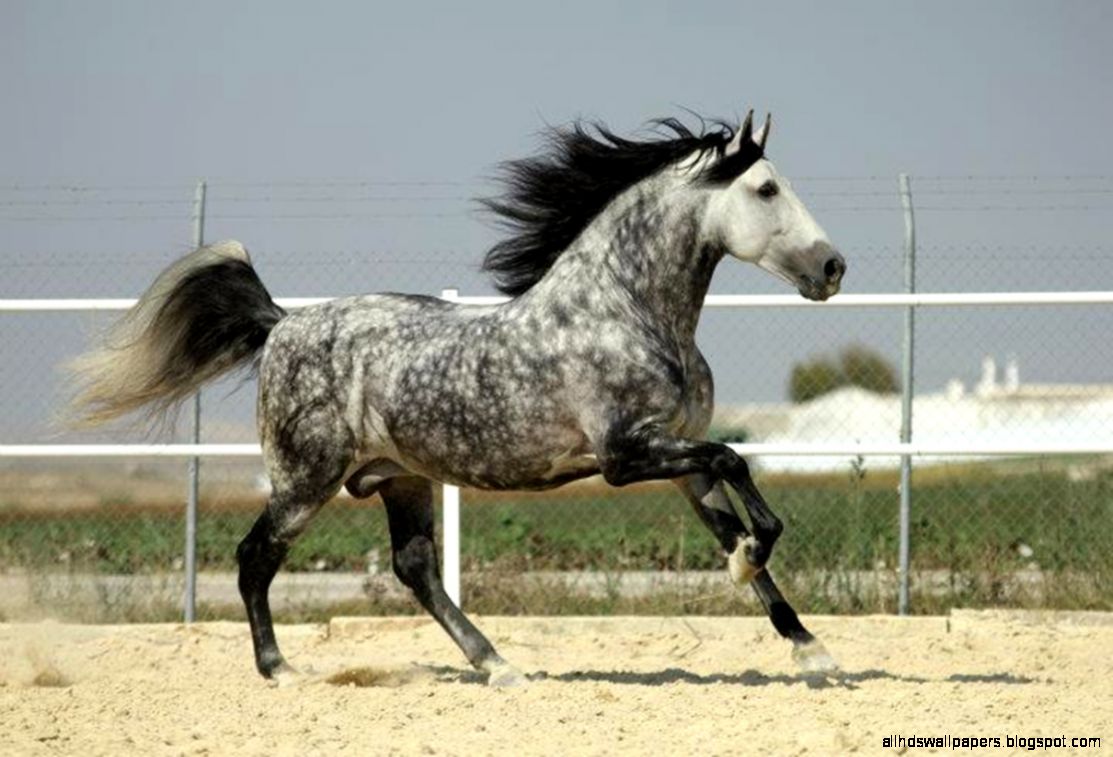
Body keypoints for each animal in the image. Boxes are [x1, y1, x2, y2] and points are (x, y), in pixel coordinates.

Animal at [68, 110, 846, 686]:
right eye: (766, 189)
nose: (833, 266)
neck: (623, 311)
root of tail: (282, 323)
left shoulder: (678, 459)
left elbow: (730, 501)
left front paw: (809, 645)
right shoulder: (626, 455)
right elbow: (738, 466)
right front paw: (750, 559)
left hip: (400, 478)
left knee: (414, 569)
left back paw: (498, 664)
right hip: (304, 479)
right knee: (254, 556)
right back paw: (280, 669)